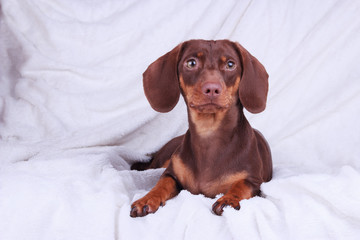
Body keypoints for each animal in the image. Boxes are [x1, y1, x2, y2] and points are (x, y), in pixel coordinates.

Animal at [131, 39, 272, 218]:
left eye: (230, 64)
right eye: (191, 63)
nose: (212, 89)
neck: (209, 132)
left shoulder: (254, 182)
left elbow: (240, 186)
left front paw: (228, 199)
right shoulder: (170, 174)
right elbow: (162, 184)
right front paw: (147, 199)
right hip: (159, 162)